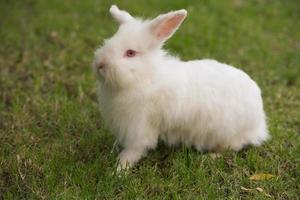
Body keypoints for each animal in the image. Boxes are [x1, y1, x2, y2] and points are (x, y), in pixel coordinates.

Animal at [92, 5, 270, 170]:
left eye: (130, 53)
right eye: (108, 41)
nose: (101, 64)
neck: (146, 77)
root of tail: (259, 123)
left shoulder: (139, 127)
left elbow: (135, 149)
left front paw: (120, 168)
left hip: (226, 134)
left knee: (231, 148)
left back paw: (209, 157)